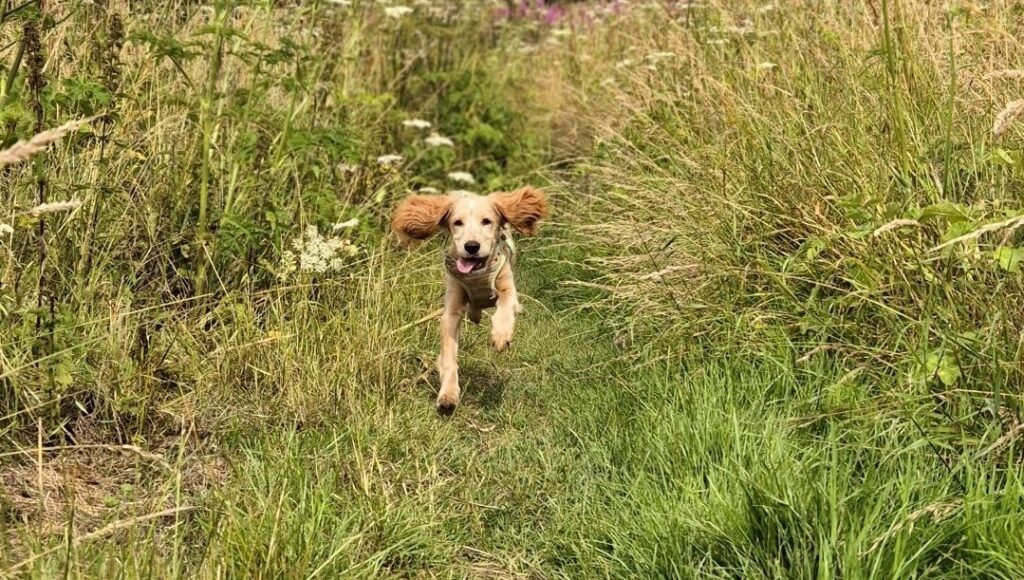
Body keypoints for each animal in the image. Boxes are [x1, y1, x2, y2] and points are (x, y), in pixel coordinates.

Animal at [391, 187, 552, 413]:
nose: (471, 246)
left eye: (487, 221)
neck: (477, 274)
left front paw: (501, 335)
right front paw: (448, 394)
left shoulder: (507, 286)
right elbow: (449, 355)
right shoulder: (451, 310)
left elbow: (505, 307)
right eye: (457, 222)